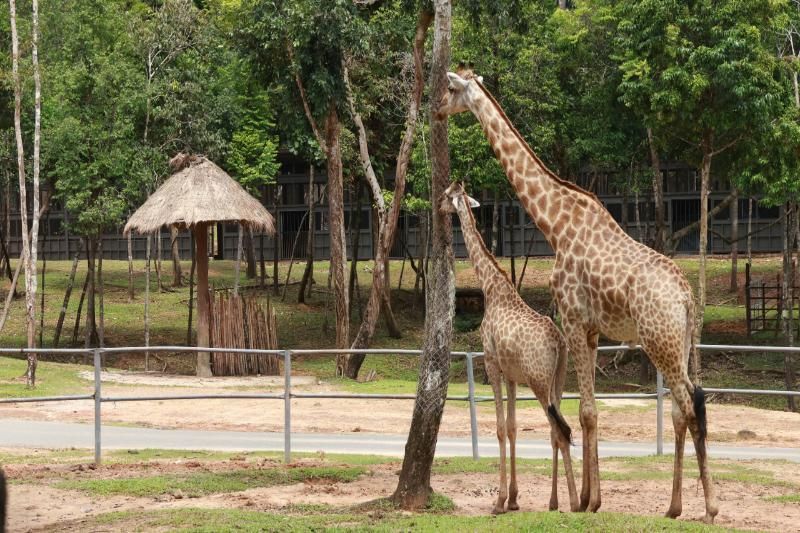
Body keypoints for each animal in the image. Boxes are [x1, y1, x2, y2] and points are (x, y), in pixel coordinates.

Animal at [441, 182, 579, 514]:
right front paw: (515, 498)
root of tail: (559, 343)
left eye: (446, 195)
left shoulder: (492, 362)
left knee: (561, 432)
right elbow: (514, 427)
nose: (438, 207)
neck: (490, 289)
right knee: (558, 432)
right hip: (558, 381)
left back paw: (573, 501)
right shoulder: (513, 376)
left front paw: (500, 501)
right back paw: (556, 500)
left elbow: (501, 428)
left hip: (540, 383)